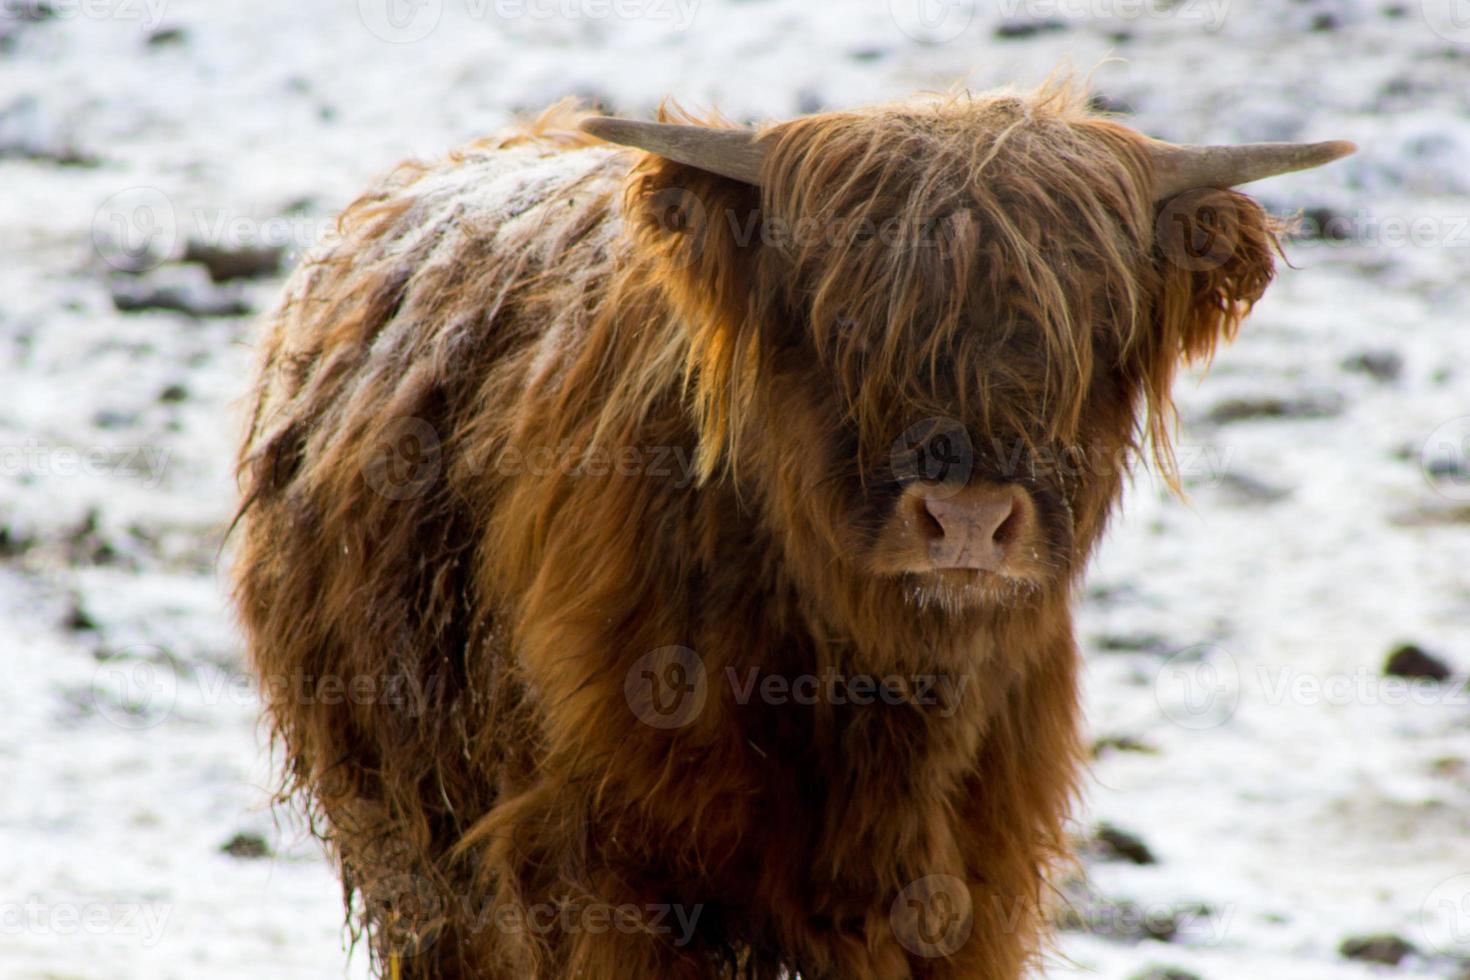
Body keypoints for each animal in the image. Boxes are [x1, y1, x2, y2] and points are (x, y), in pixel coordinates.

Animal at [232, 86, 1352, 980]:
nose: (969, 519)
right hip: (414, 861)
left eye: (1095, 332)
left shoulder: (969, 894)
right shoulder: (610, 881)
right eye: (847, 325)